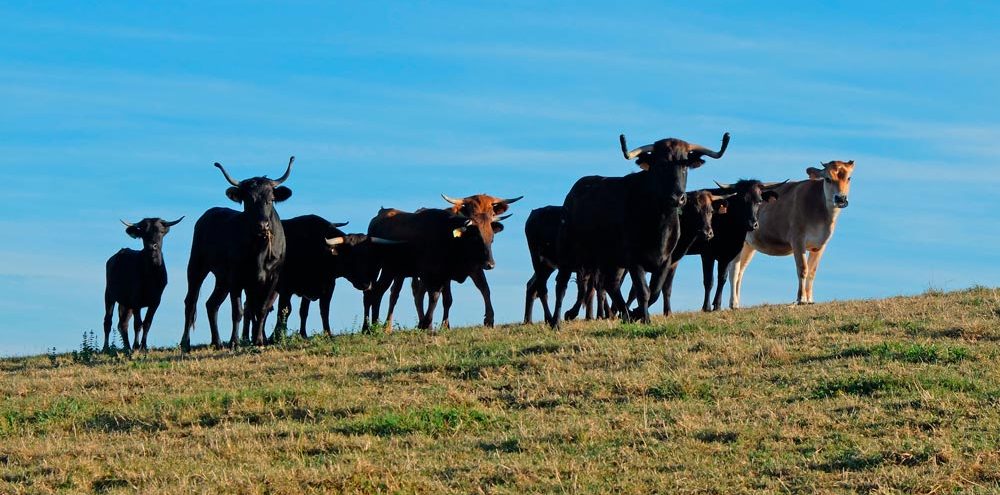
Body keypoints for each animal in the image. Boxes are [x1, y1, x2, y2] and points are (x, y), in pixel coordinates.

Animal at [103, 216, 184, 354]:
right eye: (143, 233)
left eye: (160, 231)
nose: (152, 246)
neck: (151, 275)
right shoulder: (136, 300)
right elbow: (138, 324)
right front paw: (136, 346)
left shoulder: (155, 301)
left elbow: (147, 323)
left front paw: (143, 346)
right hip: (109, 294)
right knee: (108, 321)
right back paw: (106, 348)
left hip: (125, 303)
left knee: (122, 324)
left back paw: (127, 347)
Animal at [180, 157, 294, 351]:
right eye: (247, 200)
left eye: (271, 199)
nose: (262, 225)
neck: (259, 250)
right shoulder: (237, 278)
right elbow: (238, 311)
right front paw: (235, 342)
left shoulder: (272, 277)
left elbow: (260, 308)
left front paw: (258, 341)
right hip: (197, 266)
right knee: (191, 301)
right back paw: (185, 343)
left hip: (222, 279)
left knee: (212, 304)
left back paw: (217, 342)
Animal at [410, 194, 521, 329]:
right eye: (471, 211)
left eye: (492, 239)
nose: (491, 264)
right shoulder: (445, 274)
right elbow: (447, 299)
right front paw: (445, 325)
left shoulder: (476, 268)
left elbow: (485, 289)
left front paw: (489, 319)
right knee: (418, 294)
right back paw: (425, 323)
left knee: (420, 294)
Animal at [549, 132, 731, 328]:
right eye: (661, 165)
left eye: (685, 165)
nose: (677, 198)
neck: (660, 223)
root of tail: (573, 192)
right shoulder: (634, 260)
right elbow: (643, 290)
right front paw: (644, 318)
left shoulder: (666, 260)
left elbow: (655, 291)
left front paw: (636, 314)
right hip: (569, 252)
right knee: (562, 285)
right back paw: (557, 321)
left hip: (609, 260)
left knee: (610, 284)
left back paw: (625, 315)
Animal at [729, 160, 855, 308]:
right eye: (828, 179)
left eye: (849, 178)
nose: (840, 198)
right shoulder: (797, 239)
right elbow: (803, 269)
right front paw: (801, 298)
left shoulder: (820, 244)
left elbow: (812, 271)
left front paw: (810, 299)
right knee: (734, 270)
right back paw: (733, 303)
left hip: (749, 245)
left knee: (741, 271)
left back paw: (738, 303)